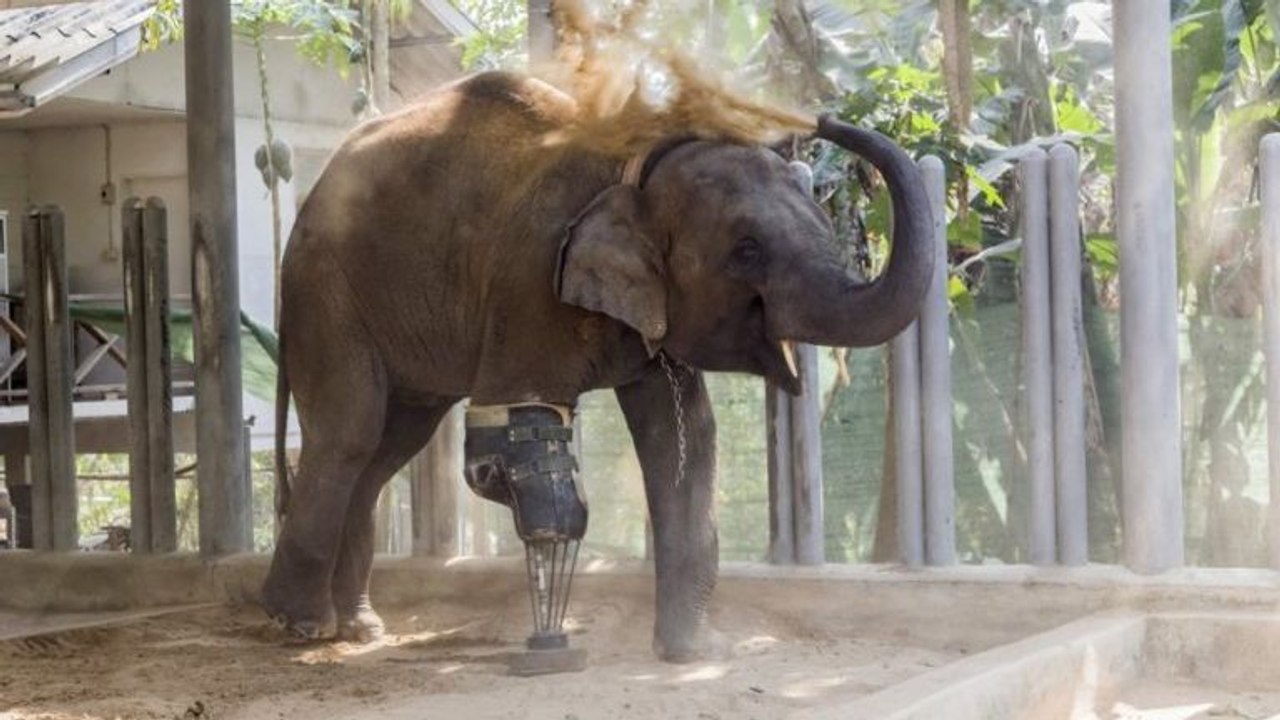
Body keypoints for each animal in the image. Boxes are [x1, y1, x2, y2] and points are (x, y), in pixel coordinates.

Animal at [260, 70, 934, 661]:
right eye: (747, 251)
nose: (820, 117)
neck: (636, 165)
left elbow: (686, 439)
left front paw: (692, 654)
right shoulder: (530, 278)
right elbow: (513, 430)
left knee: (388, 449)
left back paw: (361, 627)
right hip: (326, 292)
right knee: (350, 434)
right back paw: (300, 625)